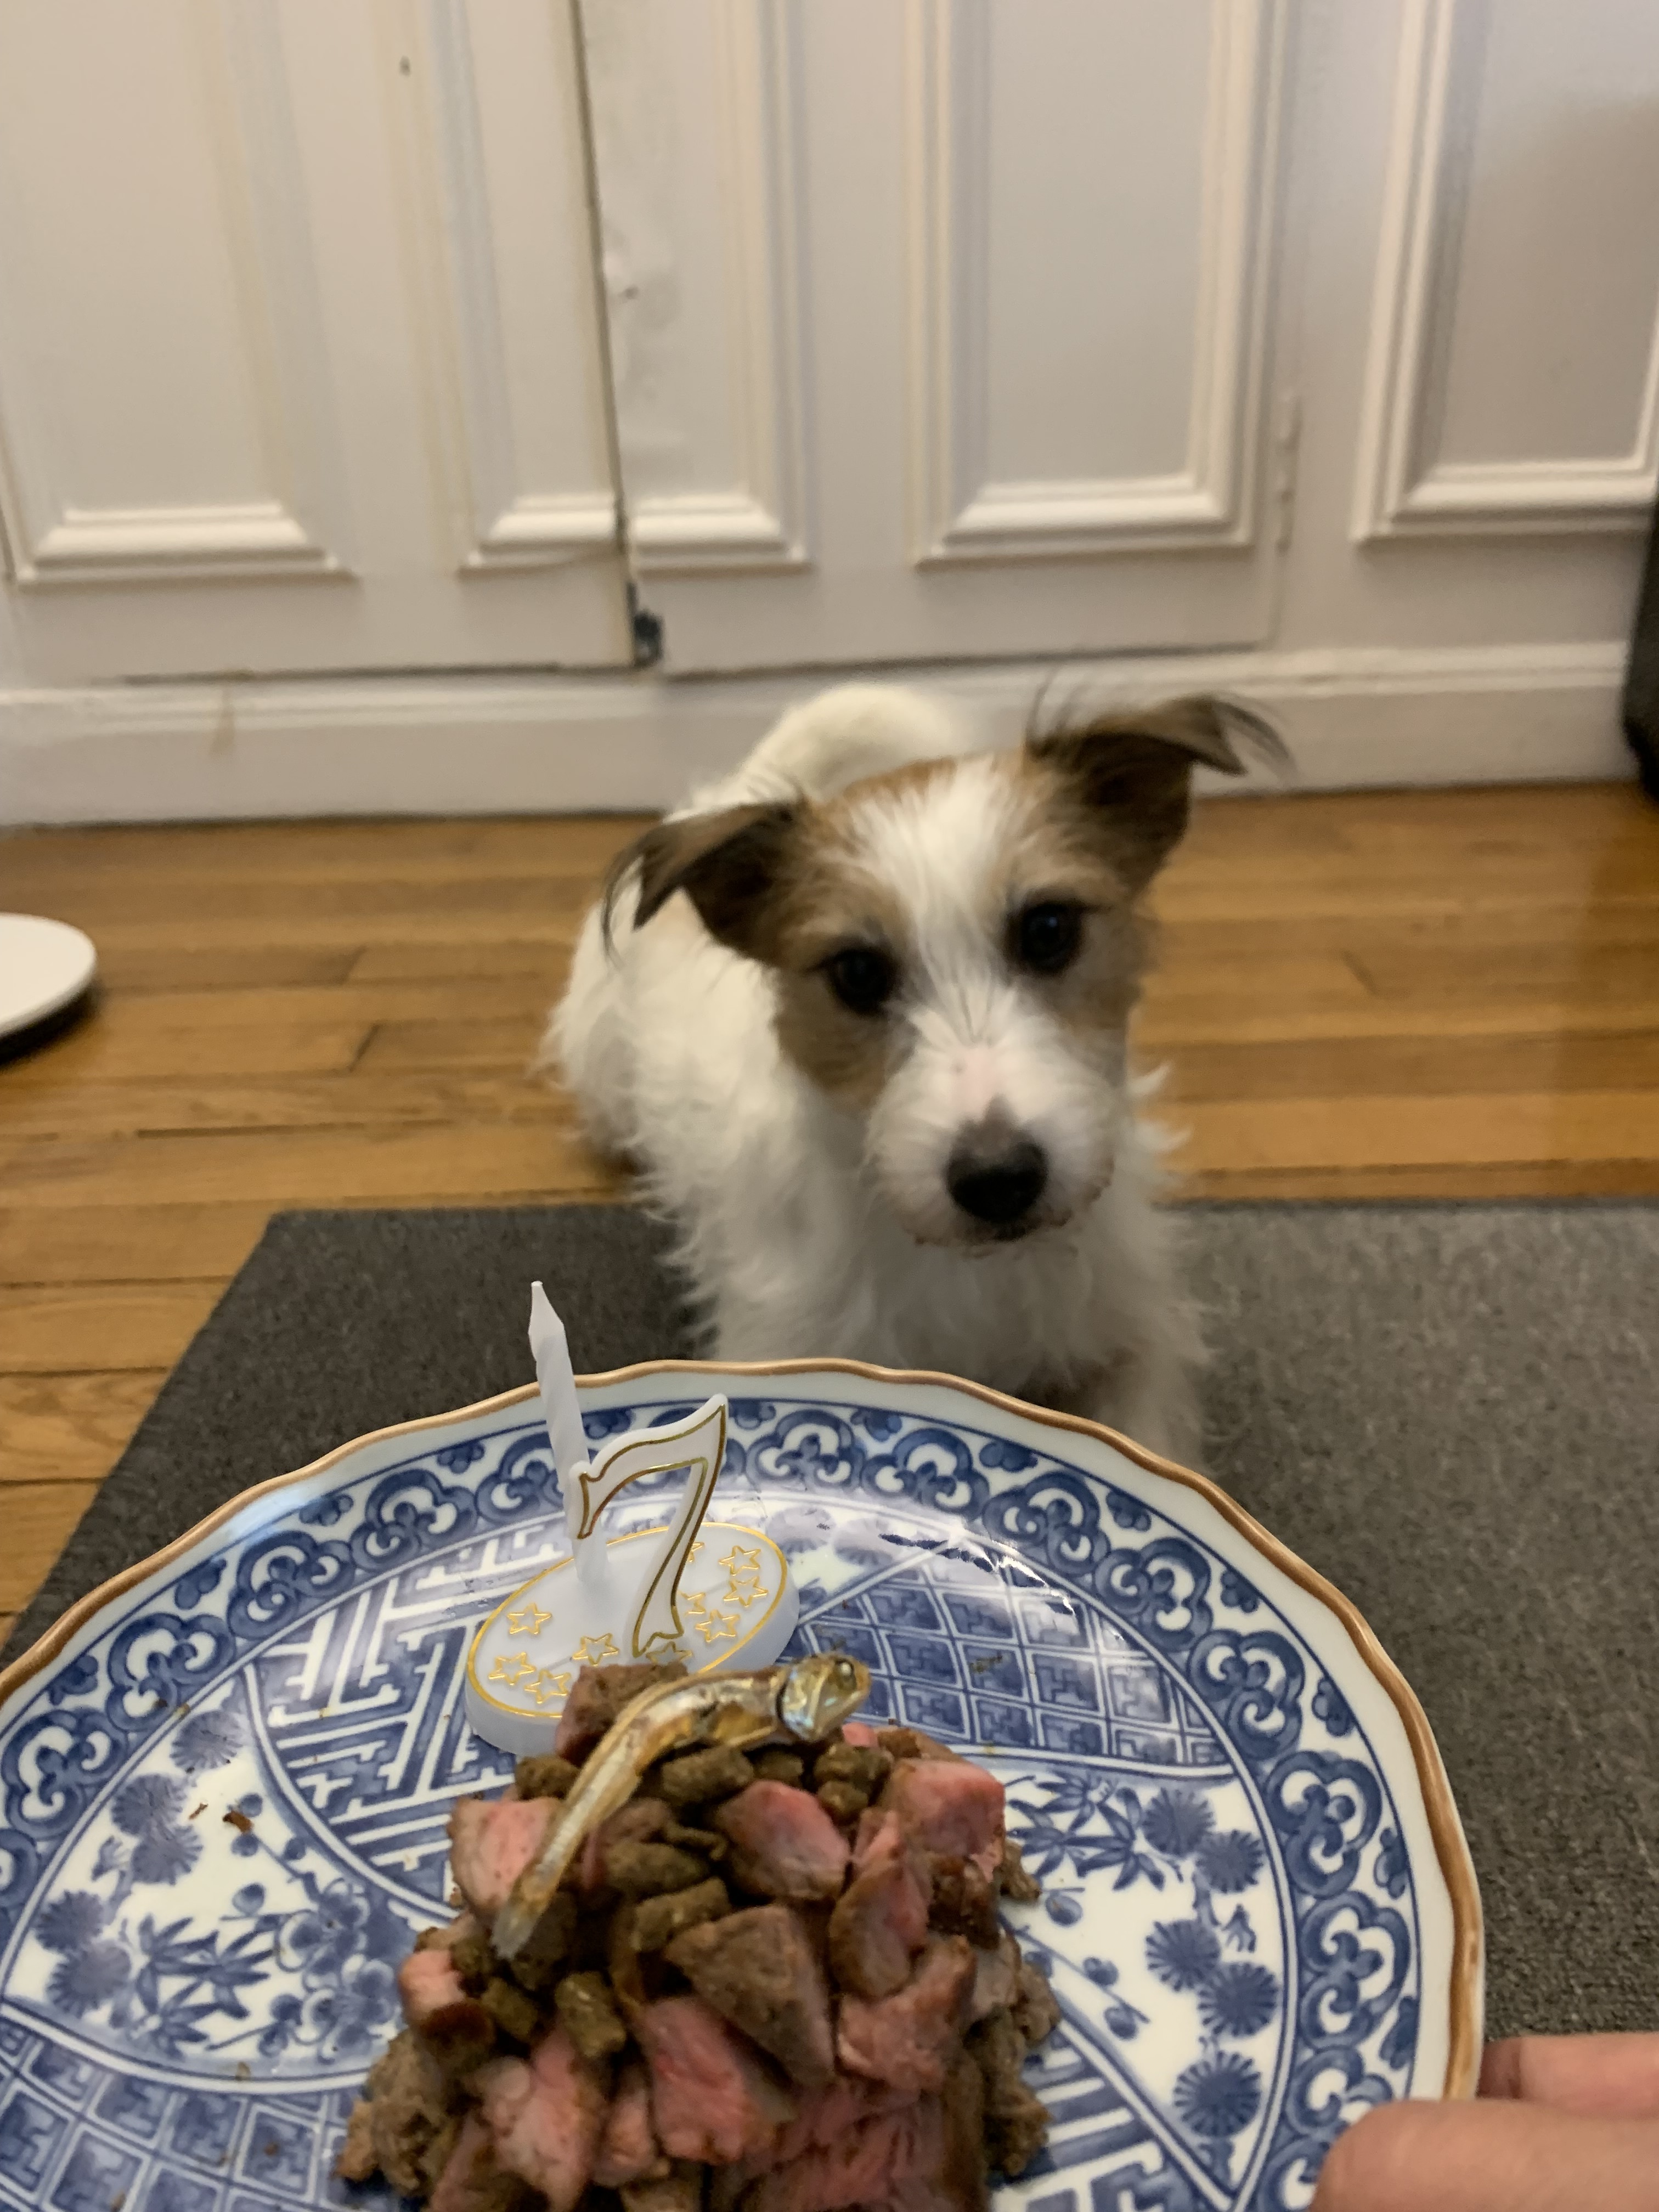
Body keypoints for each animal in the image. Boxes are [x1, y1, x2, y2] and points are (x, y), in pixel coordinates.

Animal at [547, 683, 1275, 1466]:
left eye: (1050, 929)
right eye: (858, 973)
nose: (999, 1180)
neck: (972, 1269)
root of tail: (735, 788)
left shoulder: (1134, 1339)